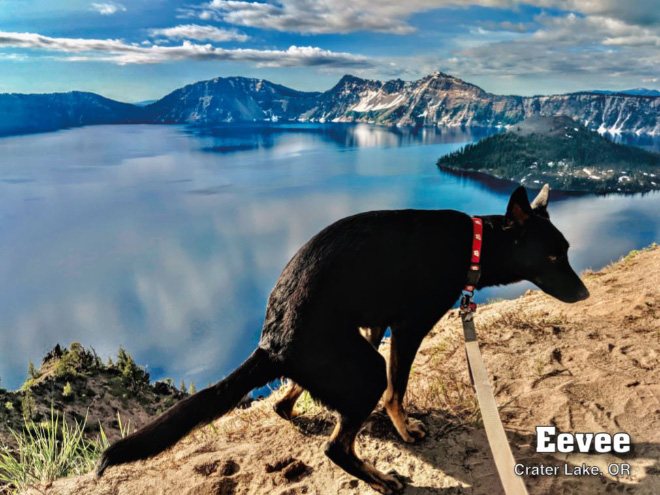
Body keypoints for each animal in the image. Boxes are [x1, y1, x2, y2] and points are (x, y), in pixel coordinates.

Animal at [96, 186, 588, 495]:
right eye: (552, 256)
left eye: (565, 252)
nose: (585, 294)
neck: (473, 244)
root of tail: (272, 340)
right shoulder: (408, 328)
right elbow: (397, 389)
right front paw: (404, 428)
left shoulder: (375, 324)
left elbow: (392, 386)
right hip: (364, 366)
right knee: (336, 445)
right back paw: (380, 479)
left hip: (345, 353)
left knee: (288, 403)